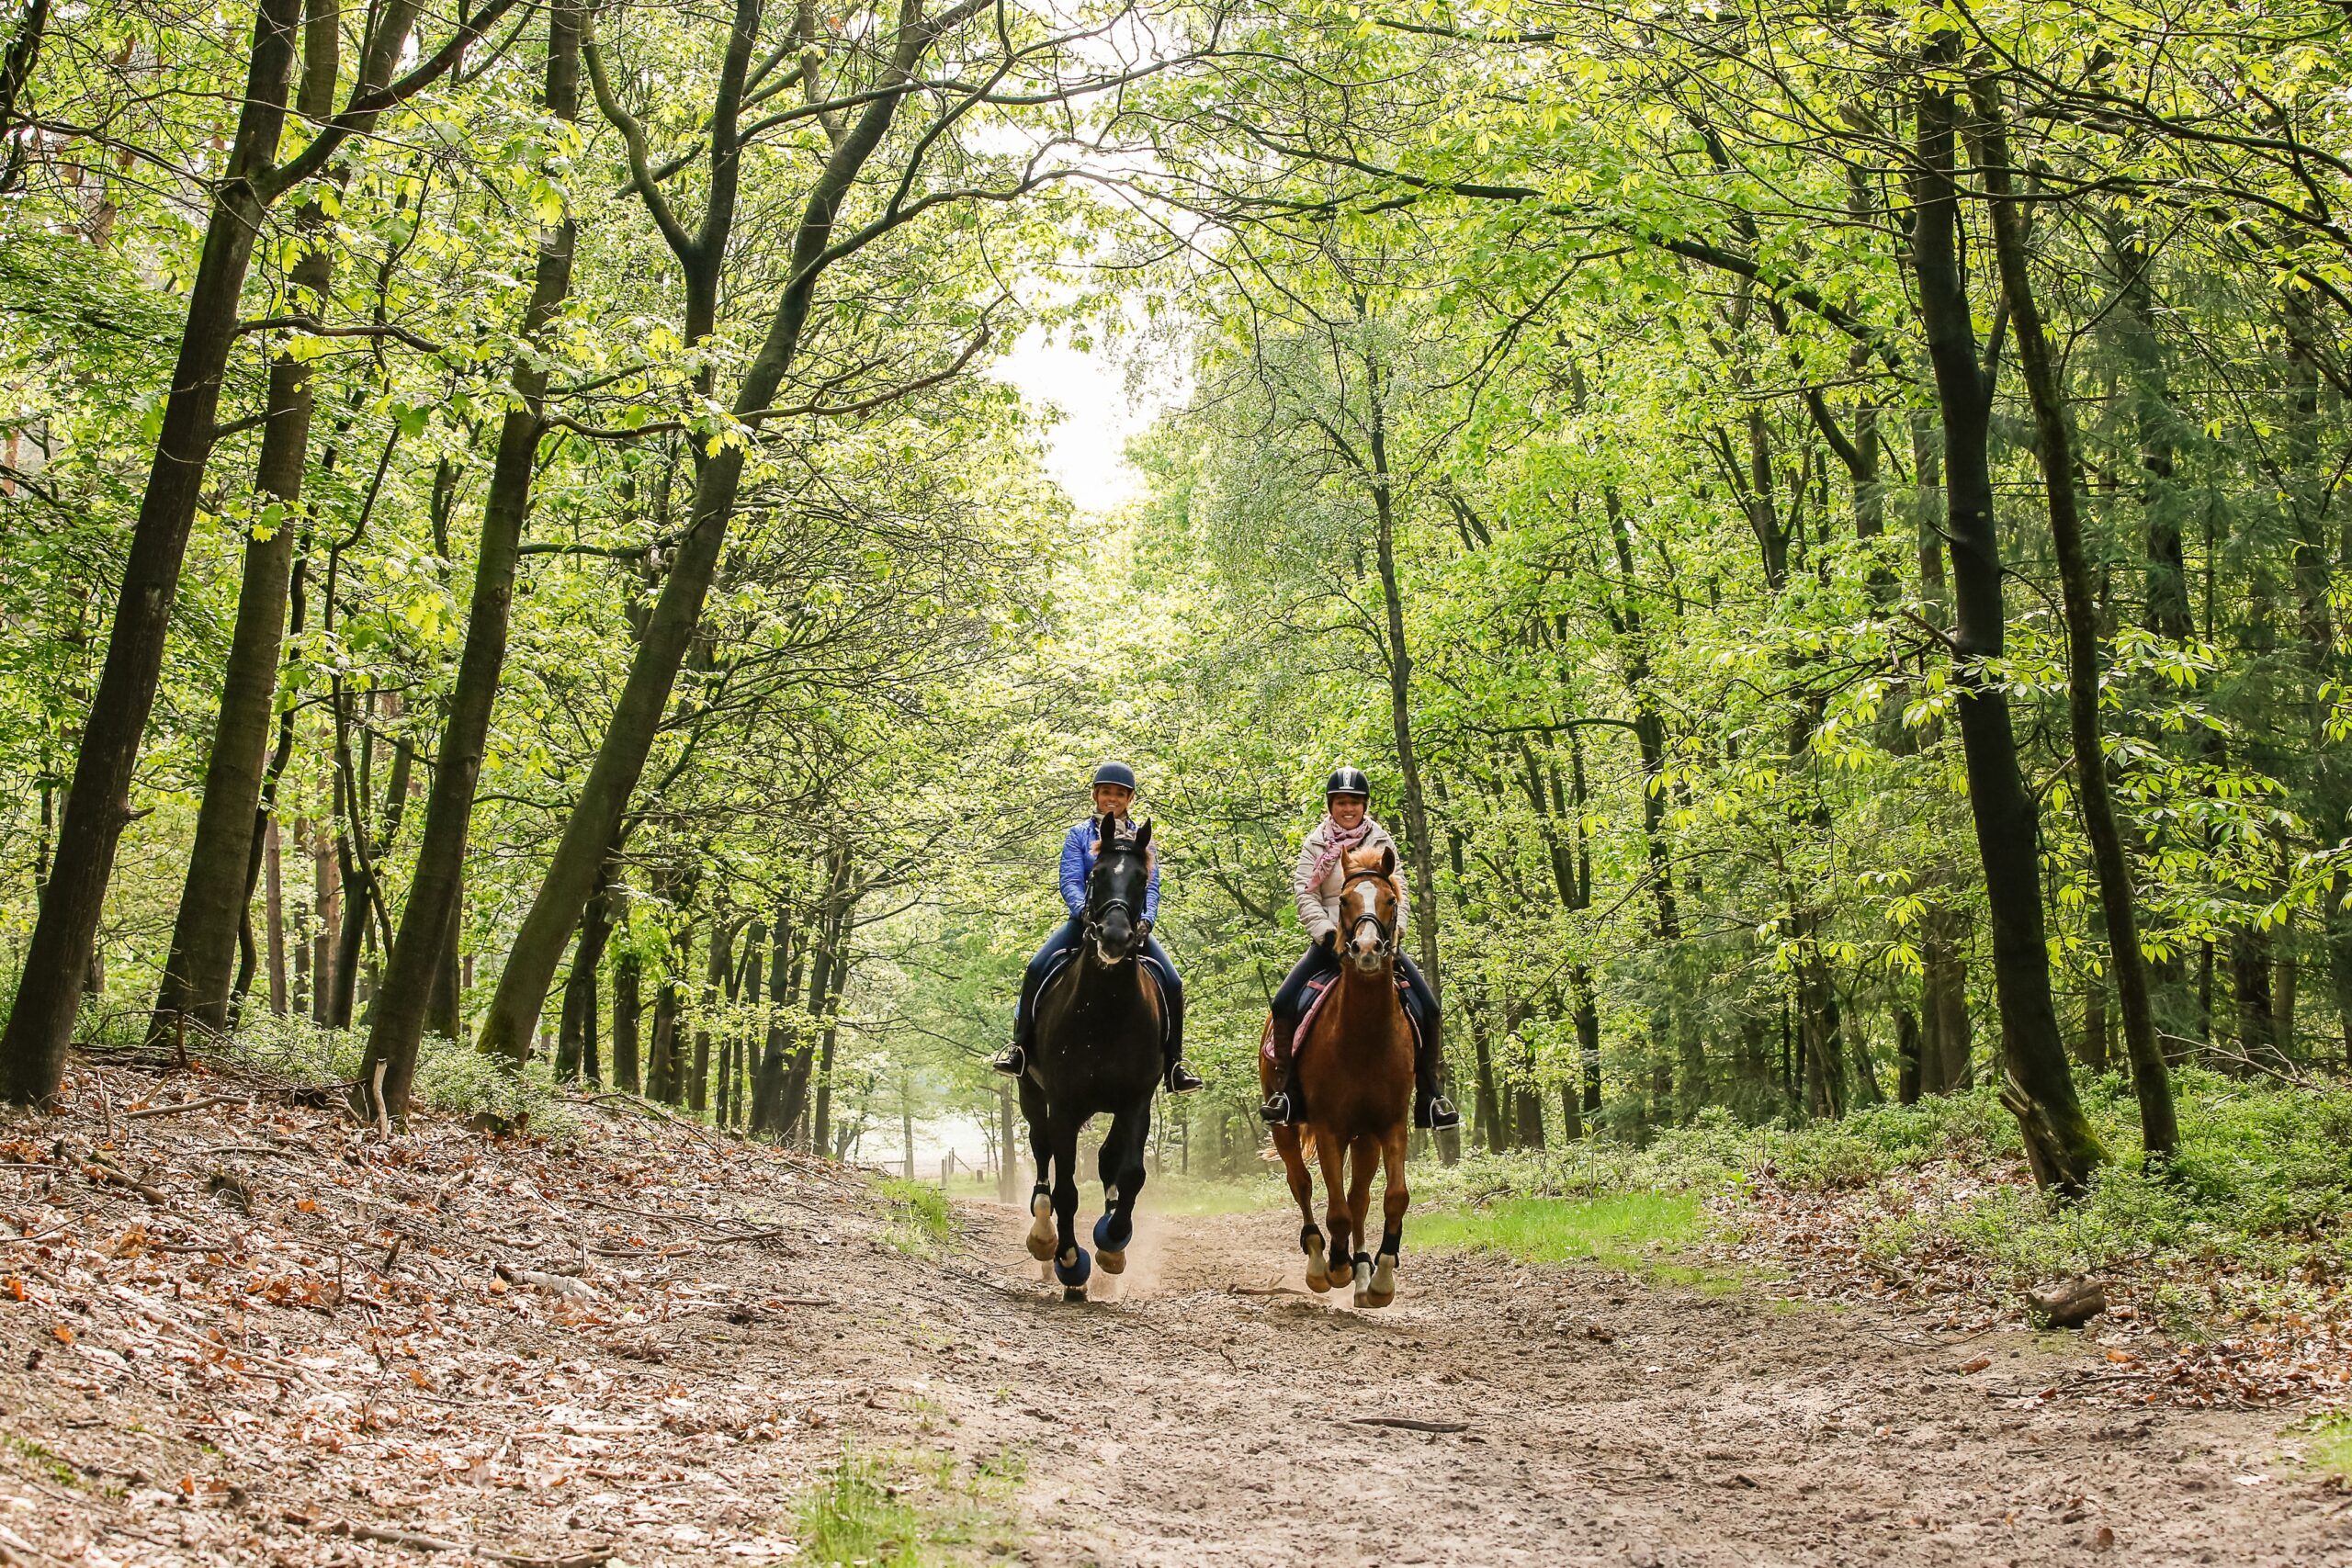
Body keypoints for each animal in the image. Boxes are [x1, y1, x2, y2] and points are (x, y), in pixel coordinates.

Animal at [1019, 812, 1164, 1301]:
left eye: (1141, 879)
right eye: (1097, 875)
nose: (1116, 937)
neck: (1106, 1010)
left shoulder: (1136, 1101)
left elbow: (1132, 1172)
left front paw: (1112, 1242)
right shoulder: (1064, 1104)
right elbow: (1066, 1189)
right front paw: (1069, 1261)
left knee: (1106, 1159)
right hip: (1031, 1094)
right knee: (1042, 1150)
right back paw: (1044, 1235)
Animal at [1262, 844, 1415, 1308]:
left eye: (1391, 900)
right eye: (1344, 900)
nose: (1366, 949)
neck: (1363, 1037)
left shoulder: (1390, 1126)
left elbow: (1392, 1197)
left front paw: (1380, 1278)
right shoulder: (1329, 1128)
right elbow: (1336, 1210)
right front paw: (1336, 1266)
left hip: (1363, 1138)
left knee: (1359, 1196)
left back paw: (1362, 1268)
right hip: (1286, 1127)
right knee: (1303, 1184)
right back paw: (1321, 1261)